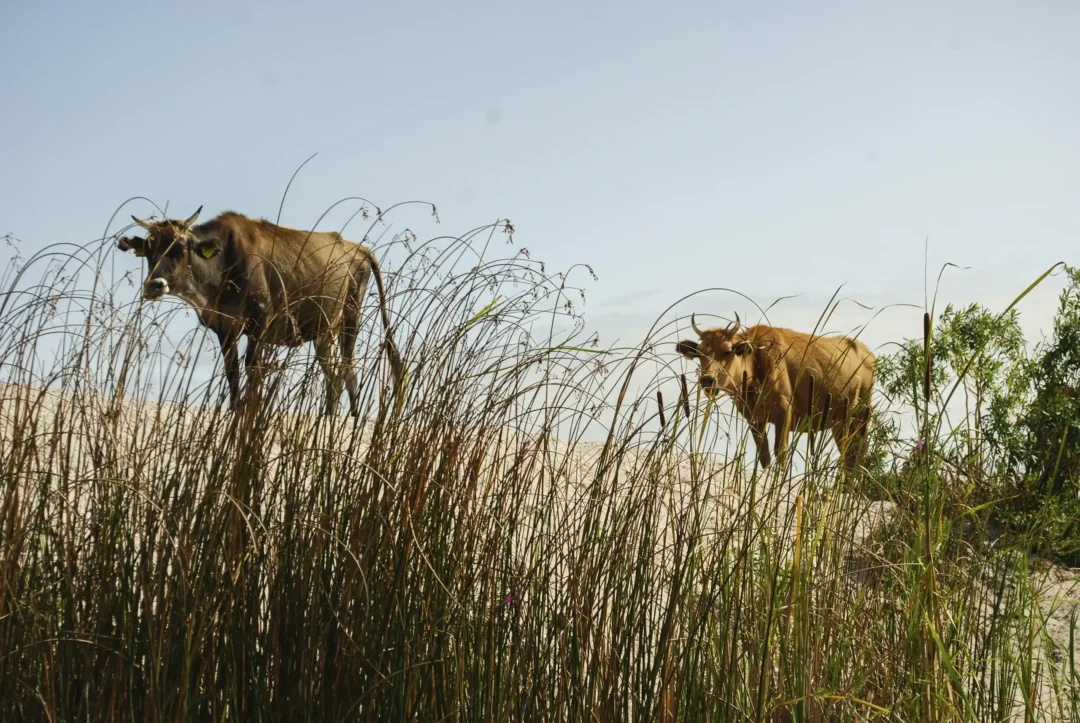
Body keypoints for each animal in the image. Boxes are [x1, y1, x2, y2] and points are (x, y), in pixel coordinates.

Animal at [117, 206, 405, 416]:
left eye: (180, 247)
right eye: (149, 249)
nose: (154, 285)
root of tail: (355, 246)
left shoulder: (260, 320)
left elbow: (252, 368)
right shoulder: (224, 327)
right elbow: (232, 370)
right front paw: (235, 410)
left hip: (350, 316)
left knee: (348, 369)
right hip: (324, 329)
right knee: (333, 373)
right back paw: (328, 417)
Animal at [676, 312, 876, 477]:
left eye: (727, 351)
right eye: (700, 353)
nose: (707, 380)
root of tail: (866, 352)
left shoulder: (784, 412)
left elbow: (781, 452)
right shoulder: (754, 419)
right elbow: (764, 456)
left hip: (860, 417)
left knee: (859, 454)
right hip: (839, 423)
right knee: (850, 456)